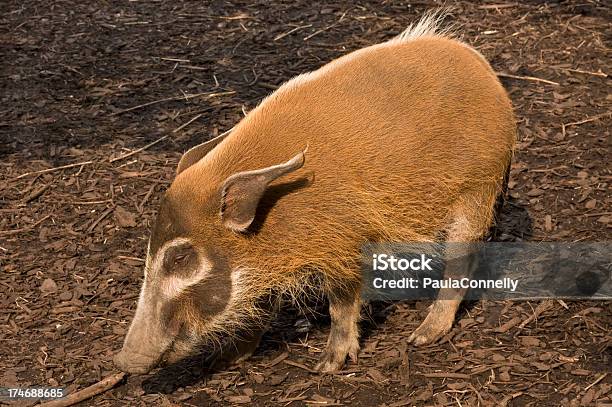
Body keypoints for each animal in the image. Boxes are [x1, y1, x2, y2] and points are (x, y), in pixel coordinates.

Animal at [112, 11, 512, 376]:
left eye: (180, 258)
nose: (125, 362)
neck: (274, 215)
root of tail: (484, 70)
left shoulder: (343, 243)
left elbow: (341, 305)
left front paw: (328, 365)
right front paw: (227, 359)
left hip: (478, 190)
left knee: (461, 261)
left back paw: (422, 336)